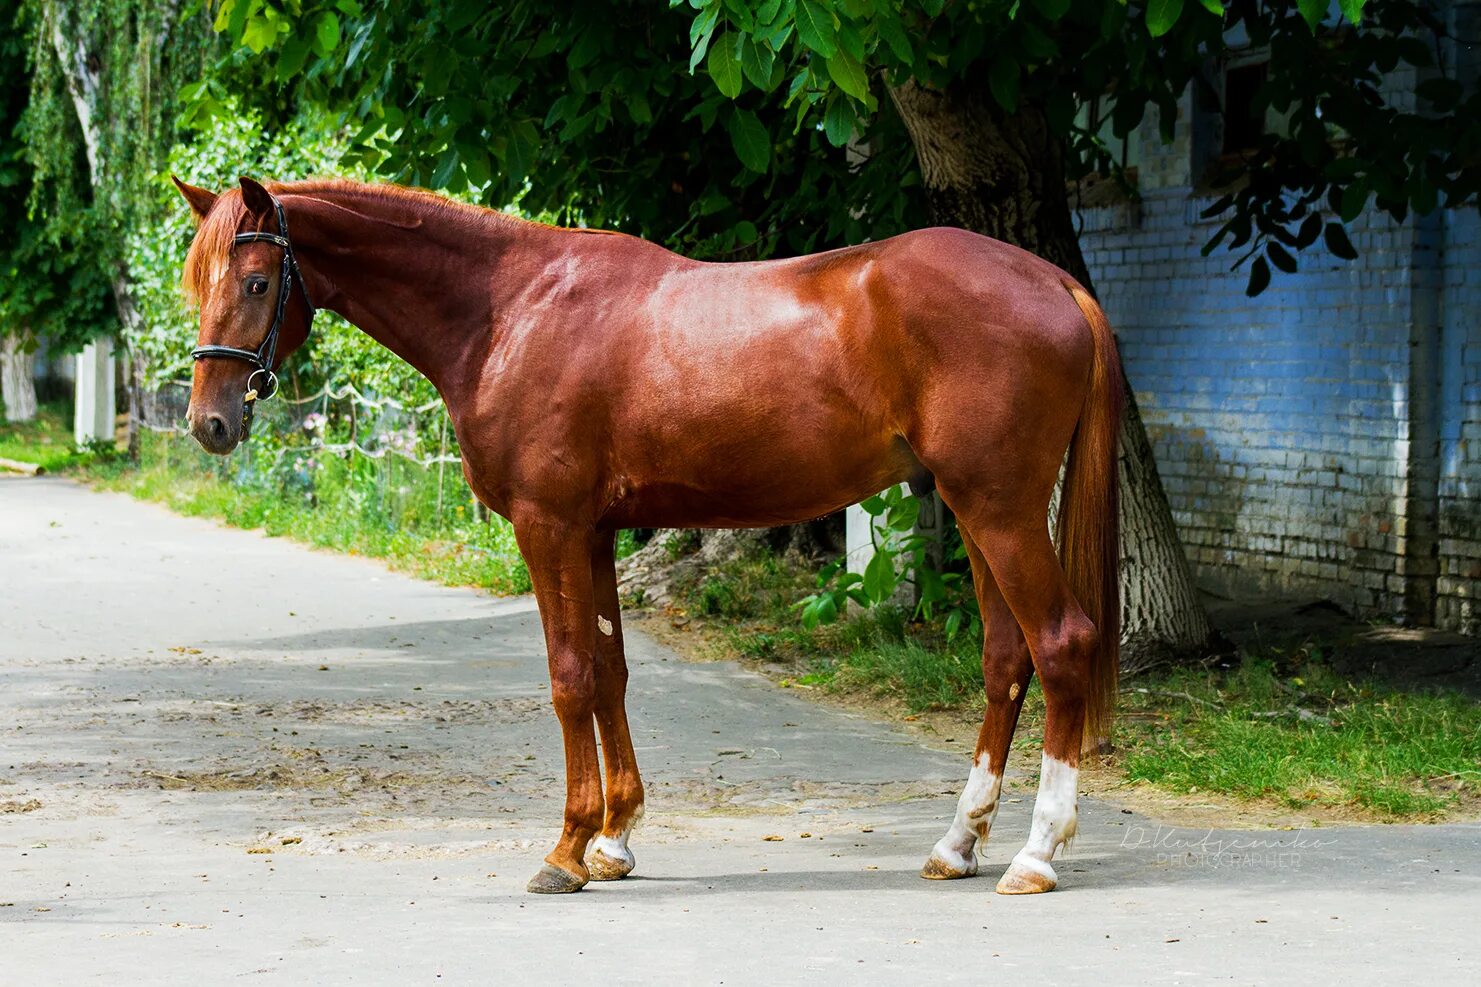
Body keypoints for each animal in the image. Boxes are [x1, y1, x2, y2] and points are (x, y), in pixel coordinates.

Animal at [173, 174, 1113, 889]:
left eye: (256, 283)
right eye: (199, 283)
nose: (209, 423)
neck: (508, 310)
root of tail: (1052, 283)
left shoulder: (547, 527)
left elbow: (569, 679)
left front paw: (564, 850)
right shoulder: (593, 533)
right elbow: (611, 672)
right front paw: (614, 838)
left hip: (999, 509)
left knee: (1061, 642)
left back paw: (1035, 853)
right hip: (977, 509)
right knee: (1005, 658)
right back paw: (957, 842)